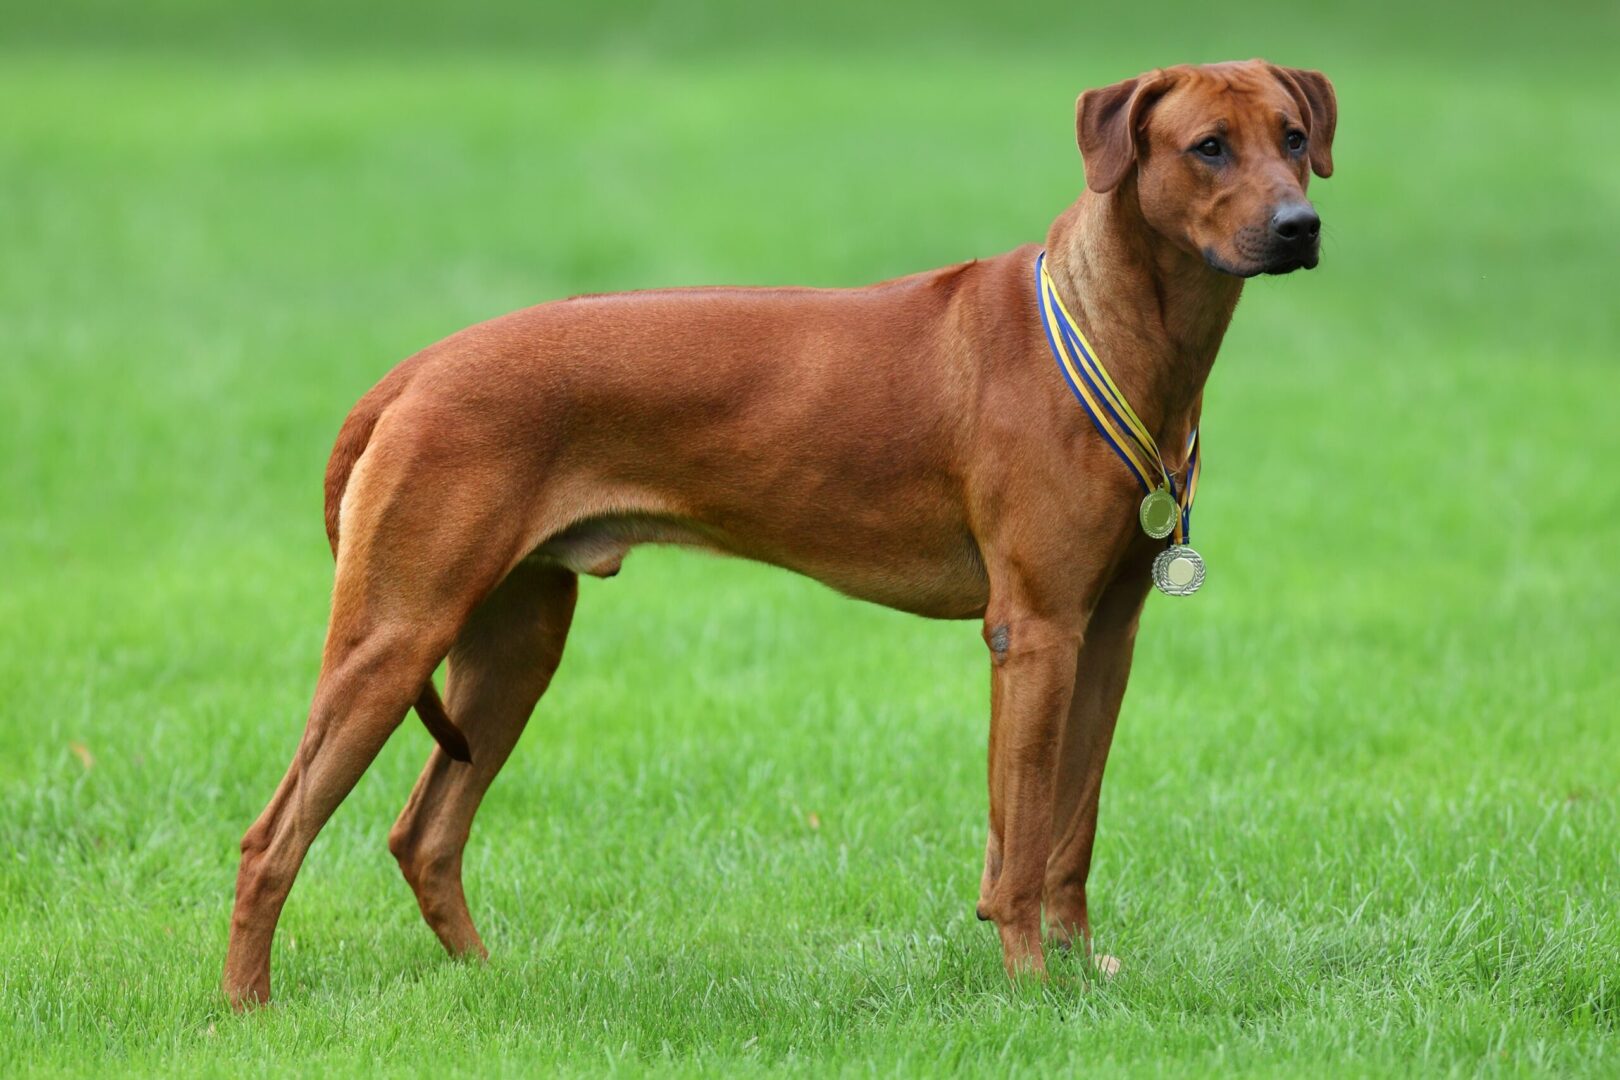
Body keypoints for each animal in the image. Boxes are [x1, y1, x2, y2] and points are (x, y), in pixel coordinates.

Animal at [221, 57, 1334, 1003]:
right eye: (1208, 147)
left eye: (1293, 135)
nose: (1302, 225)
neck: (1111, 325)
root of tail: (414, 370)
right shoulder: (1035, 631)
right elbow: (1019, 840)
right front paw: (1028, 985)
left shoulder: (1106, 631)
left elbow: (1071, 829)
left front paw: (1077, 970)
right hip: (394, 636)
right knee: (271, 838)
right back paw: (247, 1010)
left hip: (515, 644)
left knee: (425, 835)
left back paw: (487, 983)